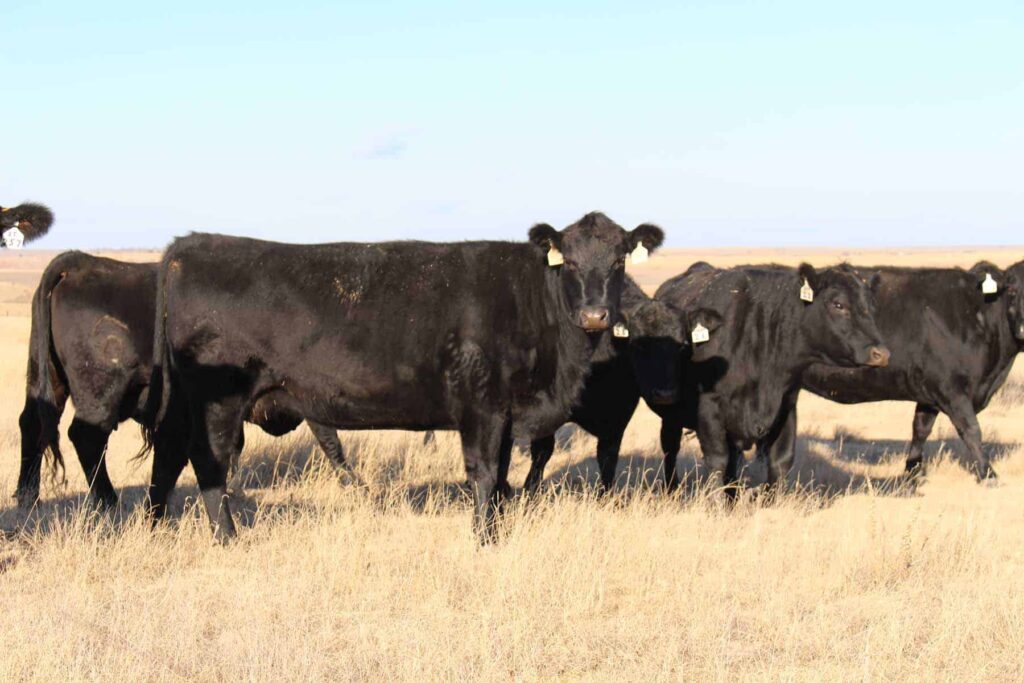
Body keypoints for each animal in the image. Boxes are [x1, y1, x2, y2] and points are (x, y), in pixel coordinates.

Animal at [16, 249, 344, 507]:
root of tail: (80, 263)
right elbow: (330, 441)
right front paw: (353, 484)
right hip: (101, 392)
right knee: (87, 437)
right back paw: (108, 501)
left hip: (46, 379)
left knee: (32, 424)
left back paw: (27, 496)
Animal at [149, 210, 663, 540]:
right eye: (569, 262)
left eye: (619, 260)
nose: (595, 315)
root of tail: (188, 245)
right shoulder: (482, 408)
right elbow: (482, 475)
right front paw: (484, 538)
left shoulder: (504, 416)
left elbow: (500, 478)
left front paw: (497, 527)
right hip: (219, 401)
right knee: (210, 462)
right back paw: (228, 537)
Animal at [655, 264, 888, 497]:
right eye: (838, 304)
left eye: (871, 307)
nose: (881, 354)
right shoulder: (709, 408)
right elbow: (716, 461)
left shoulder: (786, 406)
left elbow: (780, 460)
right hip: (671, 416)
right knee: (671, 448)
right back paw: (671, 490)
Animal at [798, 262, 1024, 481]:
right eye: (1012, 289)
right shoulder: (951, 389)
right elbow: (971, 430)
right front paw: (988, 474)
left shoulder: (929, 393)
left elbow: (920, 429)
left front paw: (913, 470)